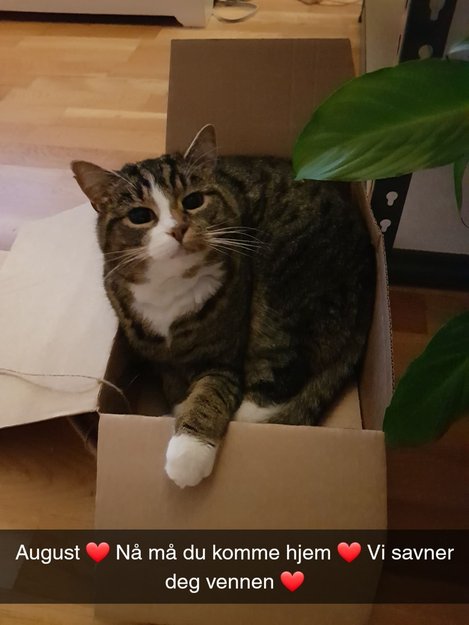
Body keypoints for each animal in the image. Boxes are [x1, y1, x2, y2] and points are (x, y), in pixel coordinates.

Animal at [71, 124, 375, 488]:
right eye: (140, 216)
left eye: (193, 201)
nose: (178, 228)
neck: (171, 285)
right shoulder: (159, 358)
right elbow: (174, 384)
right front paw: (178, 405)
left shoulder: (223, 358)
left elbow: (212, 391)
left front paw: (188, 453)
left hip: (283, 287)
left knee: (278, 375)